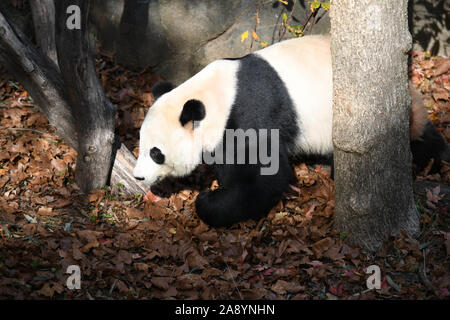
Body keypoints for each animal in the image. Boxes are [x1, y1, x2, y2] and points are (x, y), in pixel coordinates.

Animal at [132, 35, 448, 228]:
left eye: (156, 153)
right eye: (141, 144)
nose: (139, 176)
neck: (215, 95)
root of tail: (406, 85)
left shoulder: (250, 114)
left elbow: (265, 176)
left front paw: (209, 201)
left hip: (380, 115)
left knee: (417, 139)